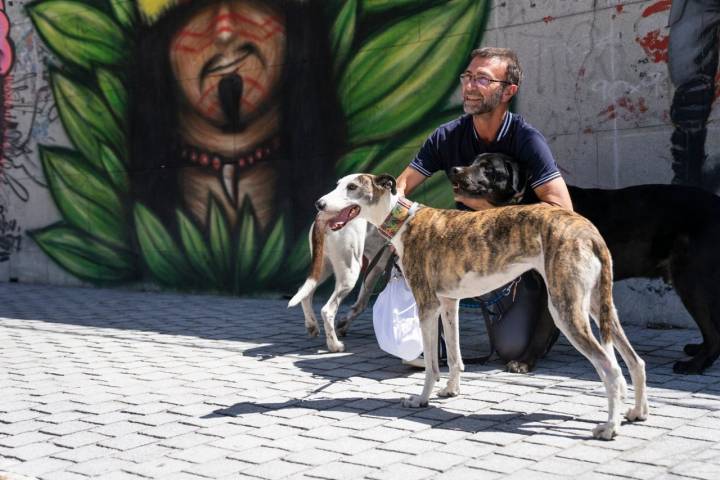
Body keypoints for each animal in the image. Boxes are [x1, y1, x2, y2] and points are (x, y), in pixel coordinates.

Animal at [452, 152, 720, 374]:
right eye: (473, 161)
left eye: (487, 168)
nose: (455, 169)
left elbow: (540, 328)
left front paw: (525, 362)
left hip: (691, 280)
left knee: (712, 330)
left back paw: (695, 364)